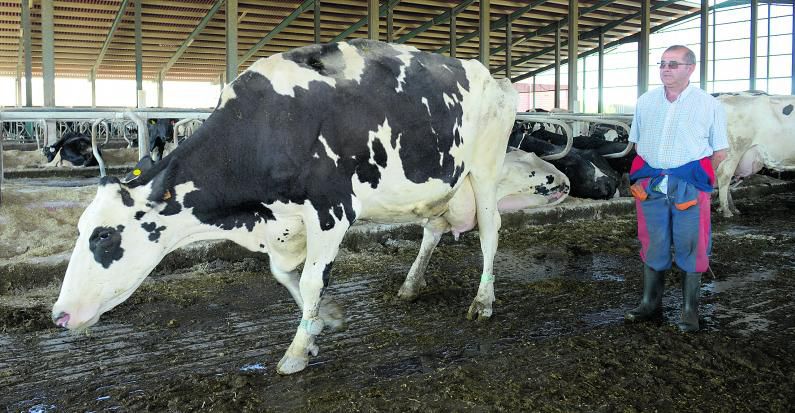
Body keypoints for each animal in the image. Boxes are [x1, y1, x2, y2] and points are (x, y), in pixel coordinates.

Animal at [50, 39, 517, 375]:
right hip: (442, 185)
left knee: (490, 231)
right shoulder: (283, 222)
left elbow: (310, 281)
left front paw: (297, 349)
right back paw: (411, 284)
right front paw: (326, 320)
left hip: (484, 170)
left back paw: (483, 301)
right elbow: (283, 274)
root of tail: (491, 74)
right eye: (80, 229)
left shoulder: (332, 209)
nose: (59, 315)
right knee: (433, 229)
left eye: (104, 236)